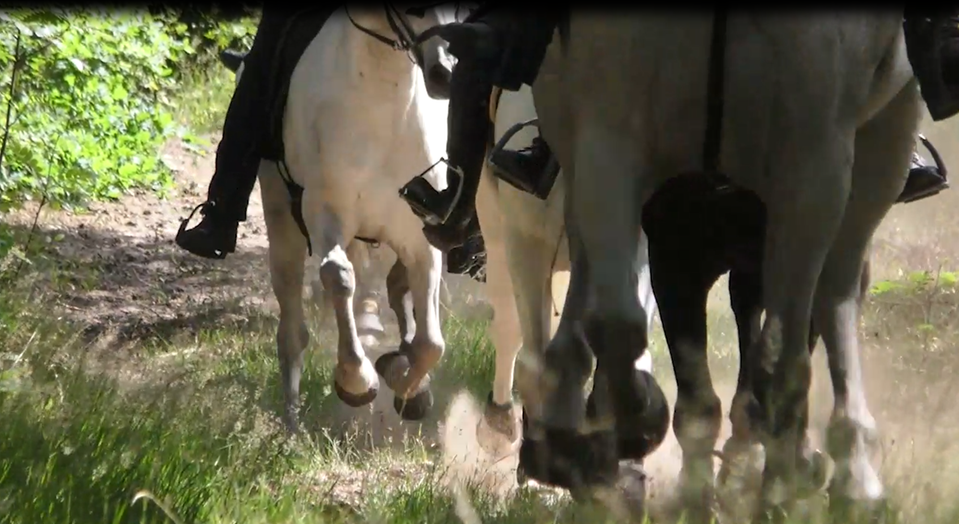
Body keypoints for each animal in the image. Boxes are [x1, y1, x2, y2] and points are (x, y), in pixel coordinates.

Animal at [240, 4, 464, 432]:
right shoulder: (326, 216)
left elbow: (431, 343)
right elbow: (338, 277)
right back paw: (291, 423)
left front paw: (406, 383)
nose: (446, 71)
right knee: (292, 330)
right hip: (283, 227)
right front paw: (357, 380)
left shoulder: (420, 236)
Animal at [528, 11, 920, 520]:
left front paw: (780, 484)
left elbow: (780, 356)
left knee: (838, 288)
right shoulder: (615, 140)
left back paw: (851, 475)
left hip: (886, 136)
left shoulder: (815, 162)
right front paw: (642, 426)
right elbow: (623, 328)